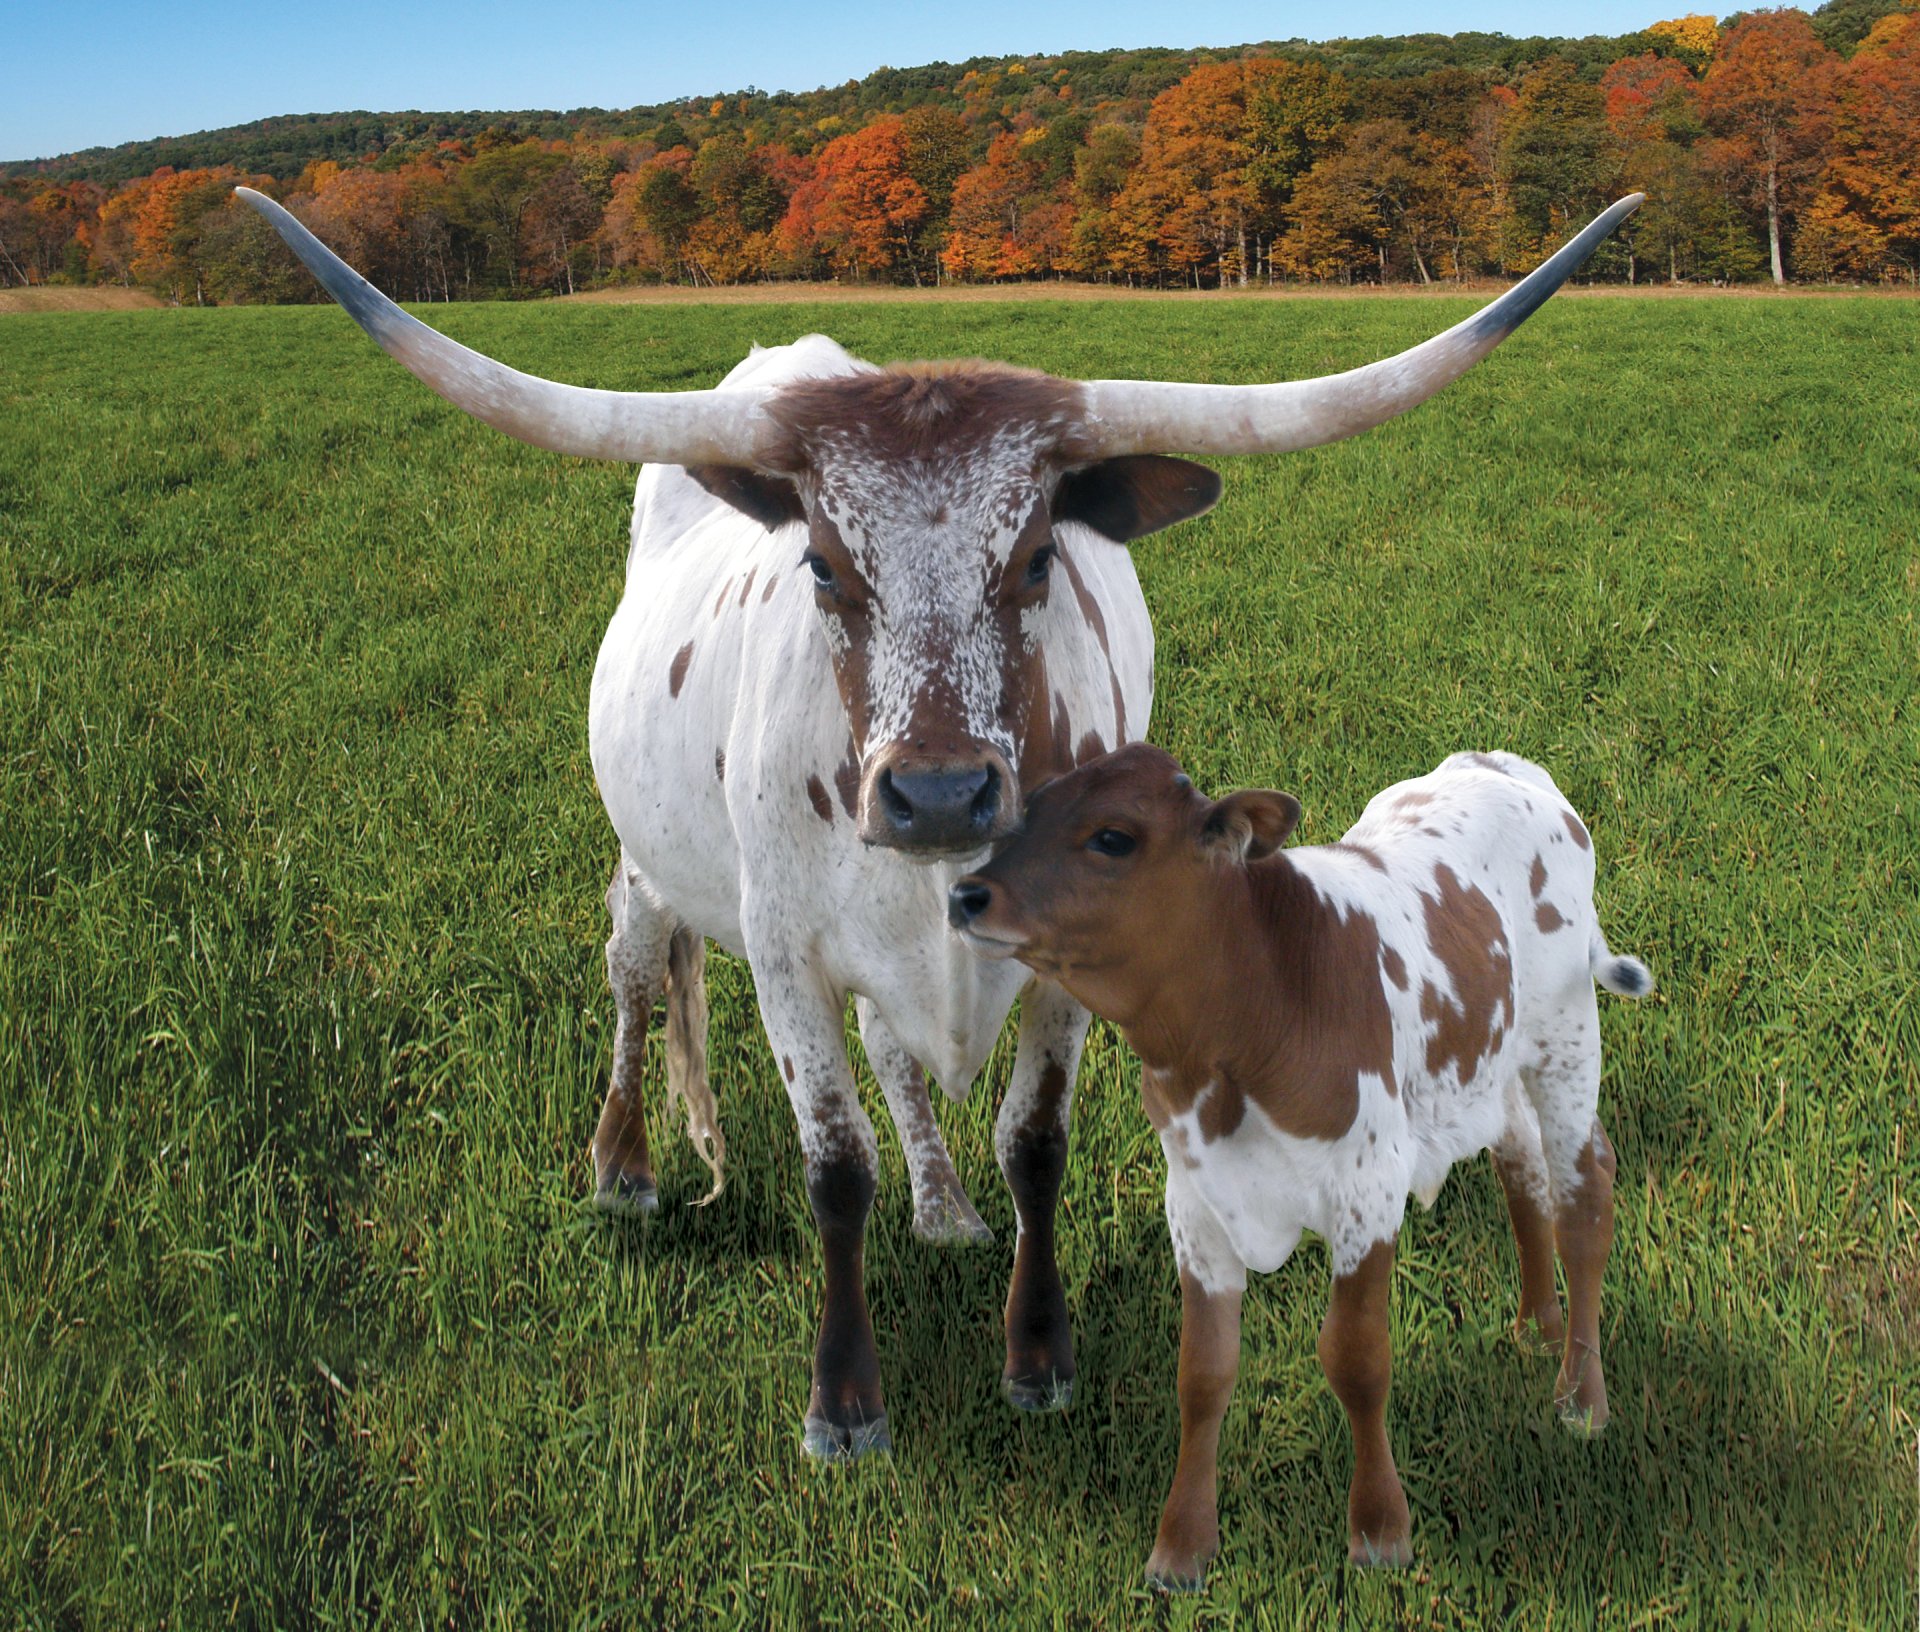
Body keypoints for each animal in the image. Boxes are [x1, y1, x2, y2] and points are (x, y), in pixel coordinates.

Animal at [236, 187, 1642, 1462]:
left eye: (1036, 558)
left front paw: (1037, 1353)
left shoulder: (1076, 972)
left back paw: (945, 1201)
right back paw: (628, 1166)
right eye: (822, 566)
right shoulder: (785, 958)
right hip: (647, 863)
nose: (938, 797)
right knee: (637, 978)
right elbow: (833, 1166)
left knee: (898, 1057)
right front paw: (843, 1401)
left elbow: (1033, 1143)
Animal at [949, 743, 1651, 1585]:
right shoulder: (1195, 1203)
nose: (967, 894)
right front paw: (1182, 1545)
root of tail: (1500, 764)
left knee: (1585, 1196)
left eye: (1113, 837)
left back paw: (1582, 1394)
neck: (1246, 1020)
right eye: (1031, 810)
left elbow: (1356, 1359)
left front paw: (1380, 1528)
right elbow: (1203, 1373)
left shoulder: (1367, 1191)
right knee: (1523, 1169)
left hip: (1566, 1038)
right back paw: (1537, 1325)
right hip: (1494, 1066)